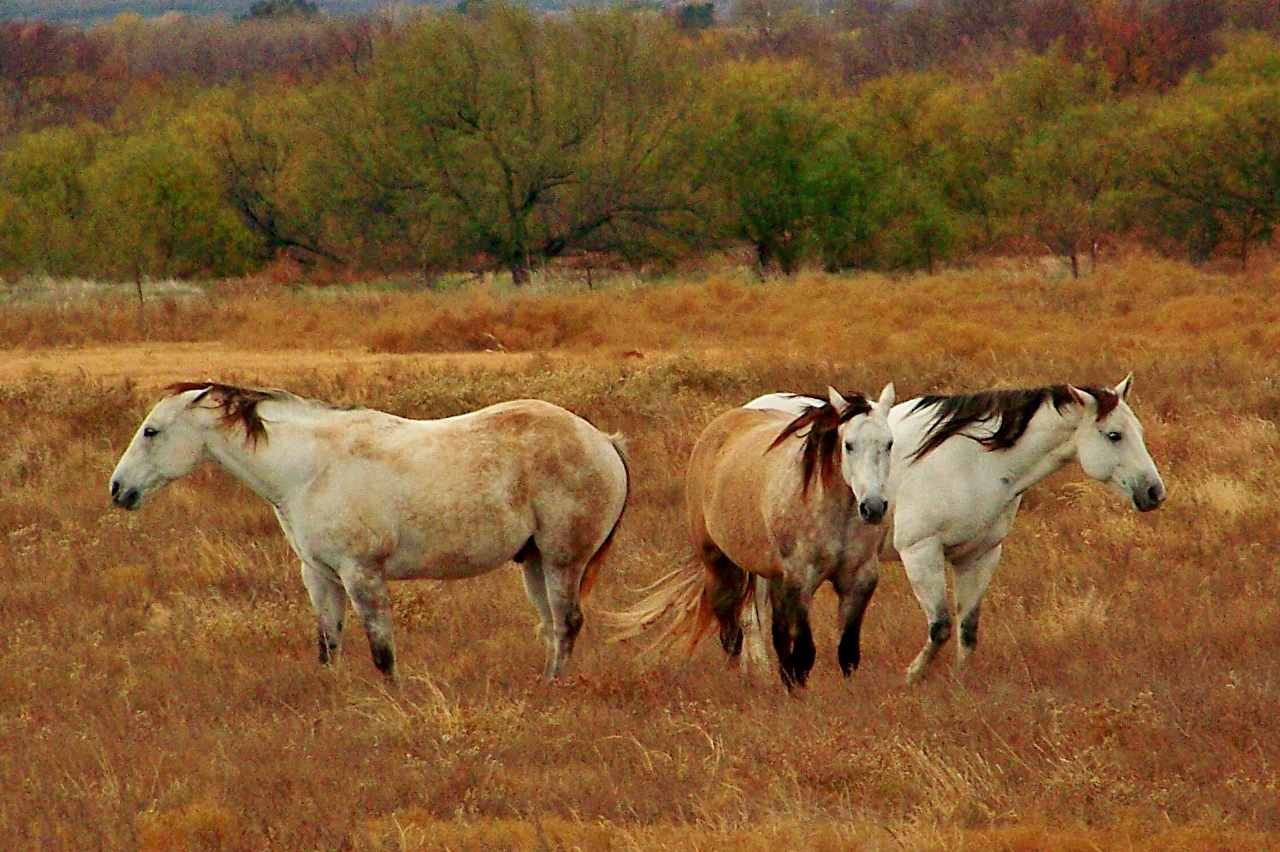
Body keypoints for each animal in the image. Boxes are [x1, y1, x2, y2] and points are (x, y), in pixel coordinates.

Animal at [110, 381, 629, 680]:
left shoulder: (362, 574)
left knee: (566, 624)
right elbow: (329, 645)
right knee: (552, 626)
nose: (118, 489)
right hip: (535, 563)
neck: (310, 469)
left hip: (562, 561)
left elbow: (382, 651)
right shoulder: (320, 577)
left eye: (152, 431)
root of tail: (603, 440)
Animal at [747, 376, 1167, 680]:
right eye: (1113, 435)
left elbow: (967, 627)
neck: (972, 464)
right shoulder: (921, 552)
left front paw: (961, 683)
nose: (1154, 492)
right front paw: (912, 677)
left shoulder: (979, 555)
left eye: (1138, 431)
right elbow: (940, 625)